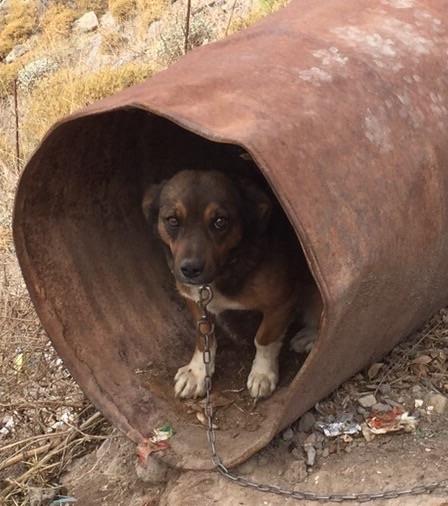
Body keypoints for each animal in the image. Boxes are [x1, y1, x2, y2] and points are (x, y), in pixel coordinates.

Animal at [142, 170, 320, 400]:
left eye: (220, 221)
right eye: (172, 220)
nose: (190, 269)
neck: (226, 266)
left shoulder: (281, 303)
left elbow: (263, 338)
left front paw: (262, 373)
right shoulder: (194, 301)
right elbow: (204, 337)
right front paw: (197, 372)